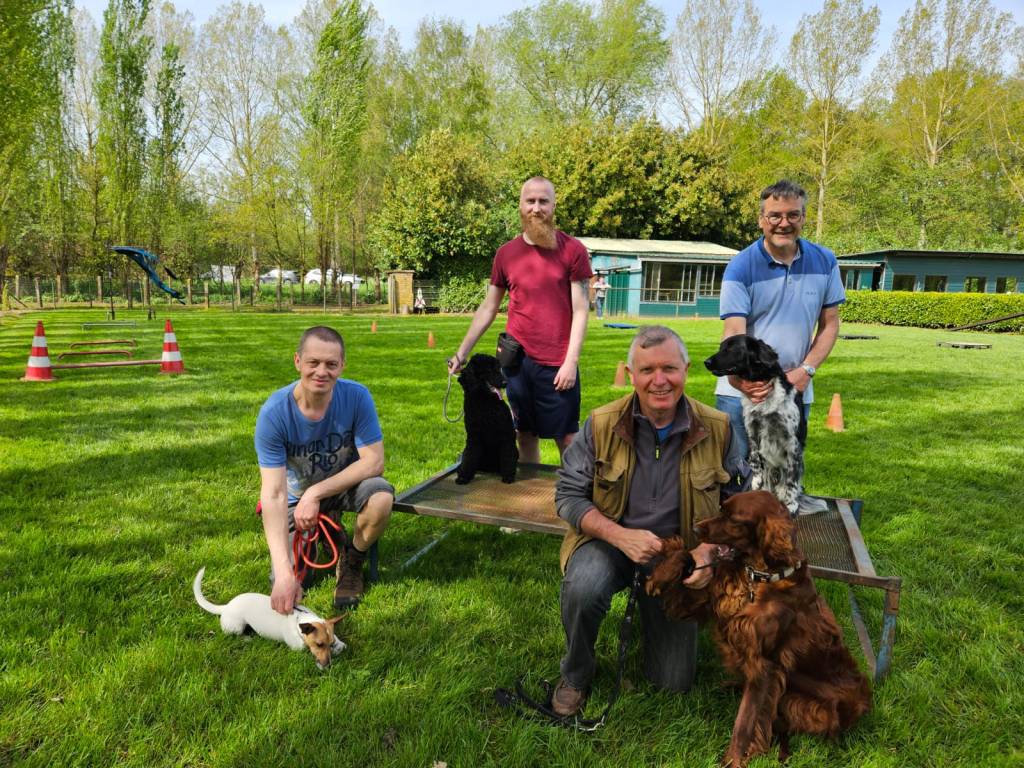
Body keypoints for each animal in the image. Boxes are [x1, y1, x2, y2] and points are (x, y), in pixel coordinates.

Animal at [193, 567, 346, 669]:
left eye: (330, 643)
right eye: (319, 644)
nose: (328, 665)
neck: (299, 618)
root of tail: (226, 607)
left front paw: (339, 645)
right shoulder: (299, 649)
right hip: (236, 626)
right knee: (234, 635)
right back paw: (247, 638)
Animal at [456, 353, 518, 484]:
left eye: (498, 369)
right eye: (488, 370)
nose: (505, 383)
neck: (484, 403)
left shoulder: (506, 435)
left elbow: (507, 456)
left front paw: (508, 476)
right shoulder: (474, 436)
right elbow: (469, 456)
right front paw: (463, 476)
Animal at [647, 491, 872, 767]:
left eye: (733, 519)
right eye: (721, 508)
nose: (696, 528)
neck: (758, 577)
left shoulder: (764, 664)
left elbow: (745, 720)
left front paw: (734, 759)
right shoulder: (696, 604)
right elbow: (686, 560)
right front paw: (662, 571)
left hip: (812, 705)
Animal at [705, 335, 802, 515]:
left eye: (731, 348)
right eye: (721, 347)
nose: (706, 362)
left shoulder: (793, 442)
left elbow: (792, 478)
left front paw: (791, 503)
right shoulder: (753, 433)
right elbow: (756, 465)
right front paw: (758, 490)